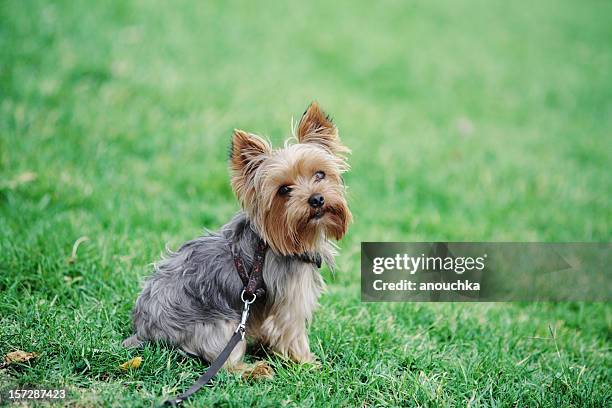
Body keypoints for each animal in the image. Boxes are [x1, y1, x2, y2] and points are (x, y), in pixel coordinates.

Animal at [122, 102, 352, 376]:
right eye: (284, 190)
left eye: (320, 174)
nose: (316, 199)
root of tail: (145, 330)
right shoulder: (291, 299)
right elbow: (293, 333)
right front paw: (307, 363)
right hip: (222, 326)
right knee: (225, 364)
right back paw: (255, 370)